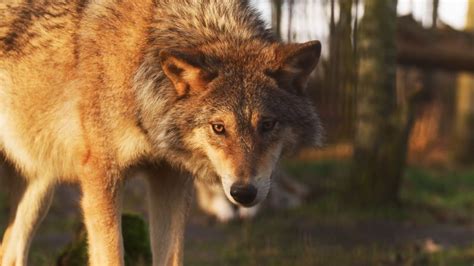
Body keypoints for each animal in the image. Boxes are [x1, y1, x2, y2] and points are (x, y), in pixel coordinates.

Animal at [0, 0, 322, 266]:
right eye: (218, 127)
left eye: (267, 124)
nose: (243, 192)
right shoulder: (101, 177)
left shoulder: (171, 178)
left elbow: (172, 257)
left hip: (40, 187)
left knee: (9, 252)